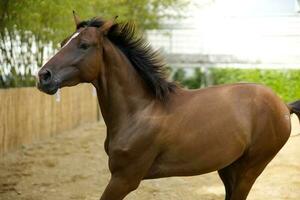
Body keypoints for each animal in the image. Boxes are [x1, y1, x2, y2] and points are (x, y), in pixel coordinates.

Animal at [37, 11, 300, 199]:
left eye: (84, 45)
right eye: (63, 42)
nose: (44, 76)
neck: (140, 110)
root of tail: (283, 106)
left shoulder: (124, 179)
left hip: (249, 169)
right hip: (229, 168)